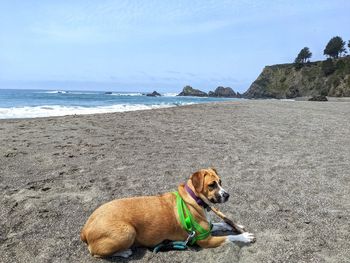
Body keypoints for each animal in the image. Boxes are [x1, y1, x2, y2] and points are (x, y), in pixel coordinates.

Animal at [80, 169, 256, 258]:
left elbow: (219, 224)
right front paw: (244, 236)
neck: (194, 199)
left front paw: (236, 225)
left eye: (221, 182)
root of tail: (85, 229)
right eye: (212, 185)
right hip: (127, 232)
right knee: (95, 253)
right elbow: (229, 238)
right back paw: (124, 252)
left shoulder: (207, 228)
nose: (227, 195)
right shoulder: (205, 240)